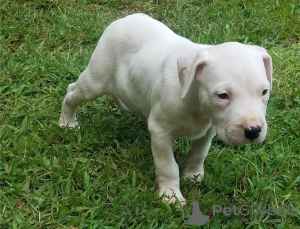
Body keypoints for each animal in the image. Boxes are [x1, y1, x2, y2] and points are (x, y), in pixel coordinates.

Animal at [58, 13, 272, 205]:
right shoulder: (160, 133)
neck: (194, 99)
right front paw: (171, 196)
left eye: (264, 92)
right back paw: (67, 122)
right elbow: (168, 166)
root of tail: (124, 19)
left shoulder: (210, 127)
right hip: (96, 79)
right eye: (222, 96)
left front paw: (193, 175)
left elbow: (199, 151)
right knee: (72, 92)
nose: (253, 131)